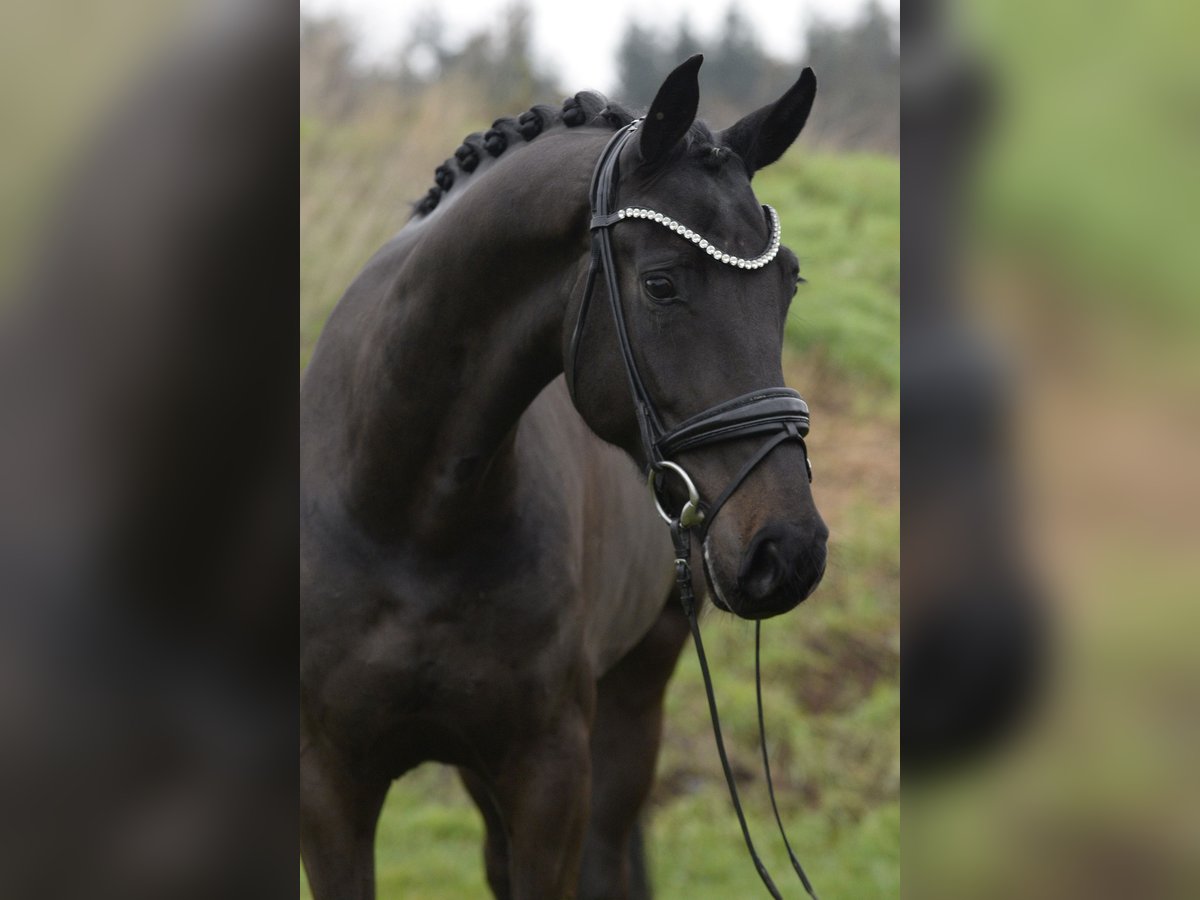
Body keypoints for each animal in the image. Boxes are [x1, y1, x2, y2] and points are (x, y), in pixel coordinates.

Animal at [300, 58, 825, 900]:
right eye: (662, 285)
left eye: (790, 283)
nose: (789, 549)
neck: (407, 515)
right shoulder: (330, 784)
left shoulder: (550, 772)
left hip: (634, 694)